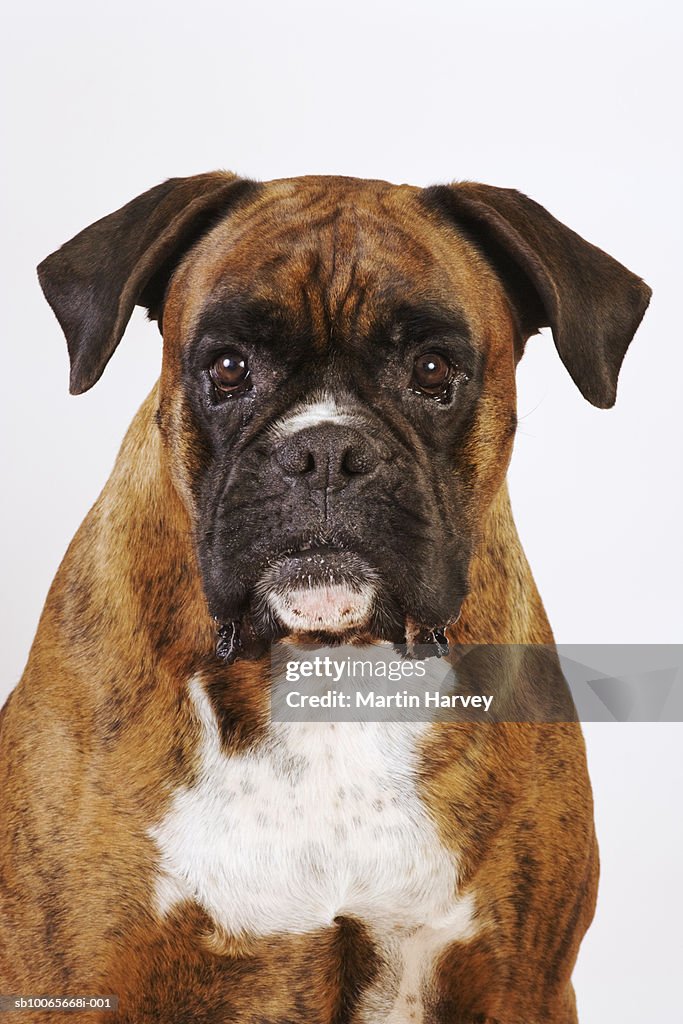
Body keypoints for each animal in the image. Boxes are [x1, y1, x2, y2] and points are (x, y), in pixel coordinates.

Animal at [0, 172, 651, 1019]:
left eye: (433, 369)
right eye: (229, 366)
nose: (327, 451)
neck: (329, 667)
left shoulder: (520, 980)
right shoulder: (66, 974)